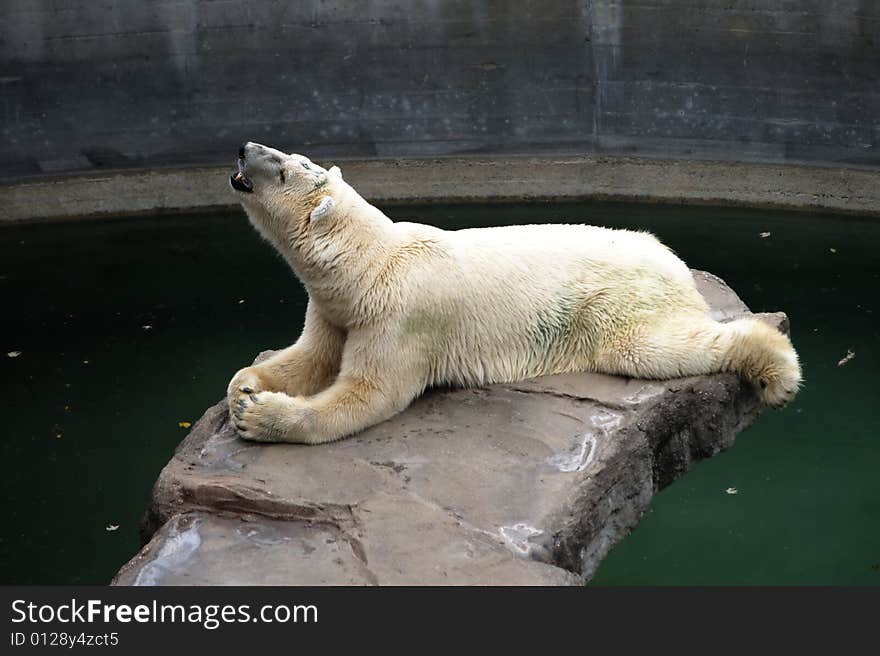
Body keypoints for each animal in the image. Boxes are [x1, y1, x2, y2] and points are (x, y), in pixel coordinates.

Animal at [223, 141, 800, 444]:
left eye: (283, 167)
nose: (245, 147)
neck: (371, 265)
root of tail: (668, 256)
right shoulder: (335, 308)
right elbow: (309, 357)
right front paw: (245, 386)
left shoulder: (400, 316)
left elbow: (368, 393)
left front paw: (260, 416)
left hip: (615, 305)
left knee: (658, 348)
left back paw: (776, 370)